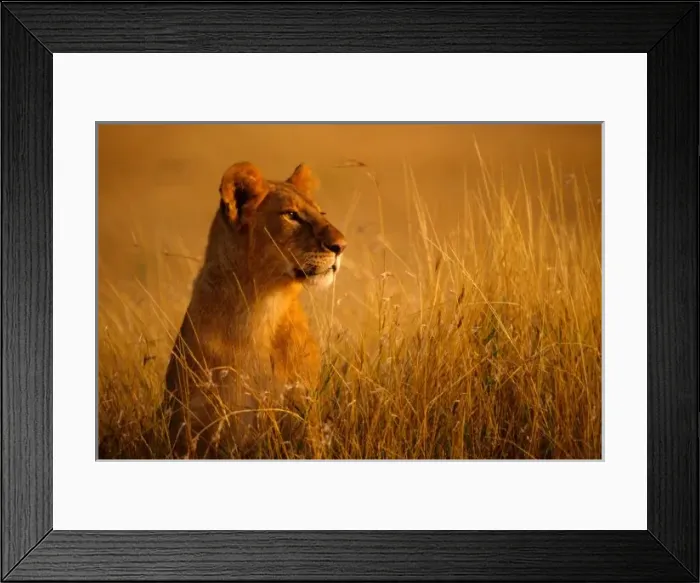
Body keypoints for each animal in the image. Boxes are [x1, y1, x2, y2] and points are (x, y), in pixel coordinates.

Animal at [163, 162, 347, 458]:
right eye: (291, 215)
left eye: (321, 213)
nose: (341, 246)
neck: (262, 307)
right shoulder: (193, 425)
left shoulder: (304, 418)